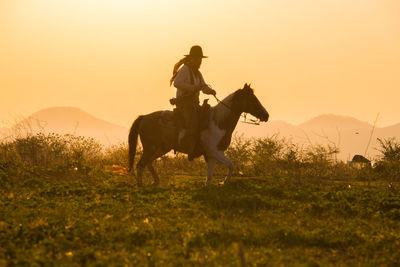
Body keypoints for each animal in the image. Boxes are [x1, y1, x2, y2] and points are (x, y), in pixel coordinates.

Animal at [129, 84, 268, 186]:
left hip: (162, 148)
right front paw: (224, 182)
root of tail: (144, 117)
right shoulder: (214, 151)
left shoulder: (213, 155)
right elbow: (231, 165)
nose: (266, 115)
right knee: (140, 165)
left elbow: (210, 176)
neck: (219, 122)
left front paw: (210, 186)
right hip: (150, 148)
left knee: (148, 163)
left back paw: (156, 181)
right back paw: (141, 184)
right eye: (253, 99)